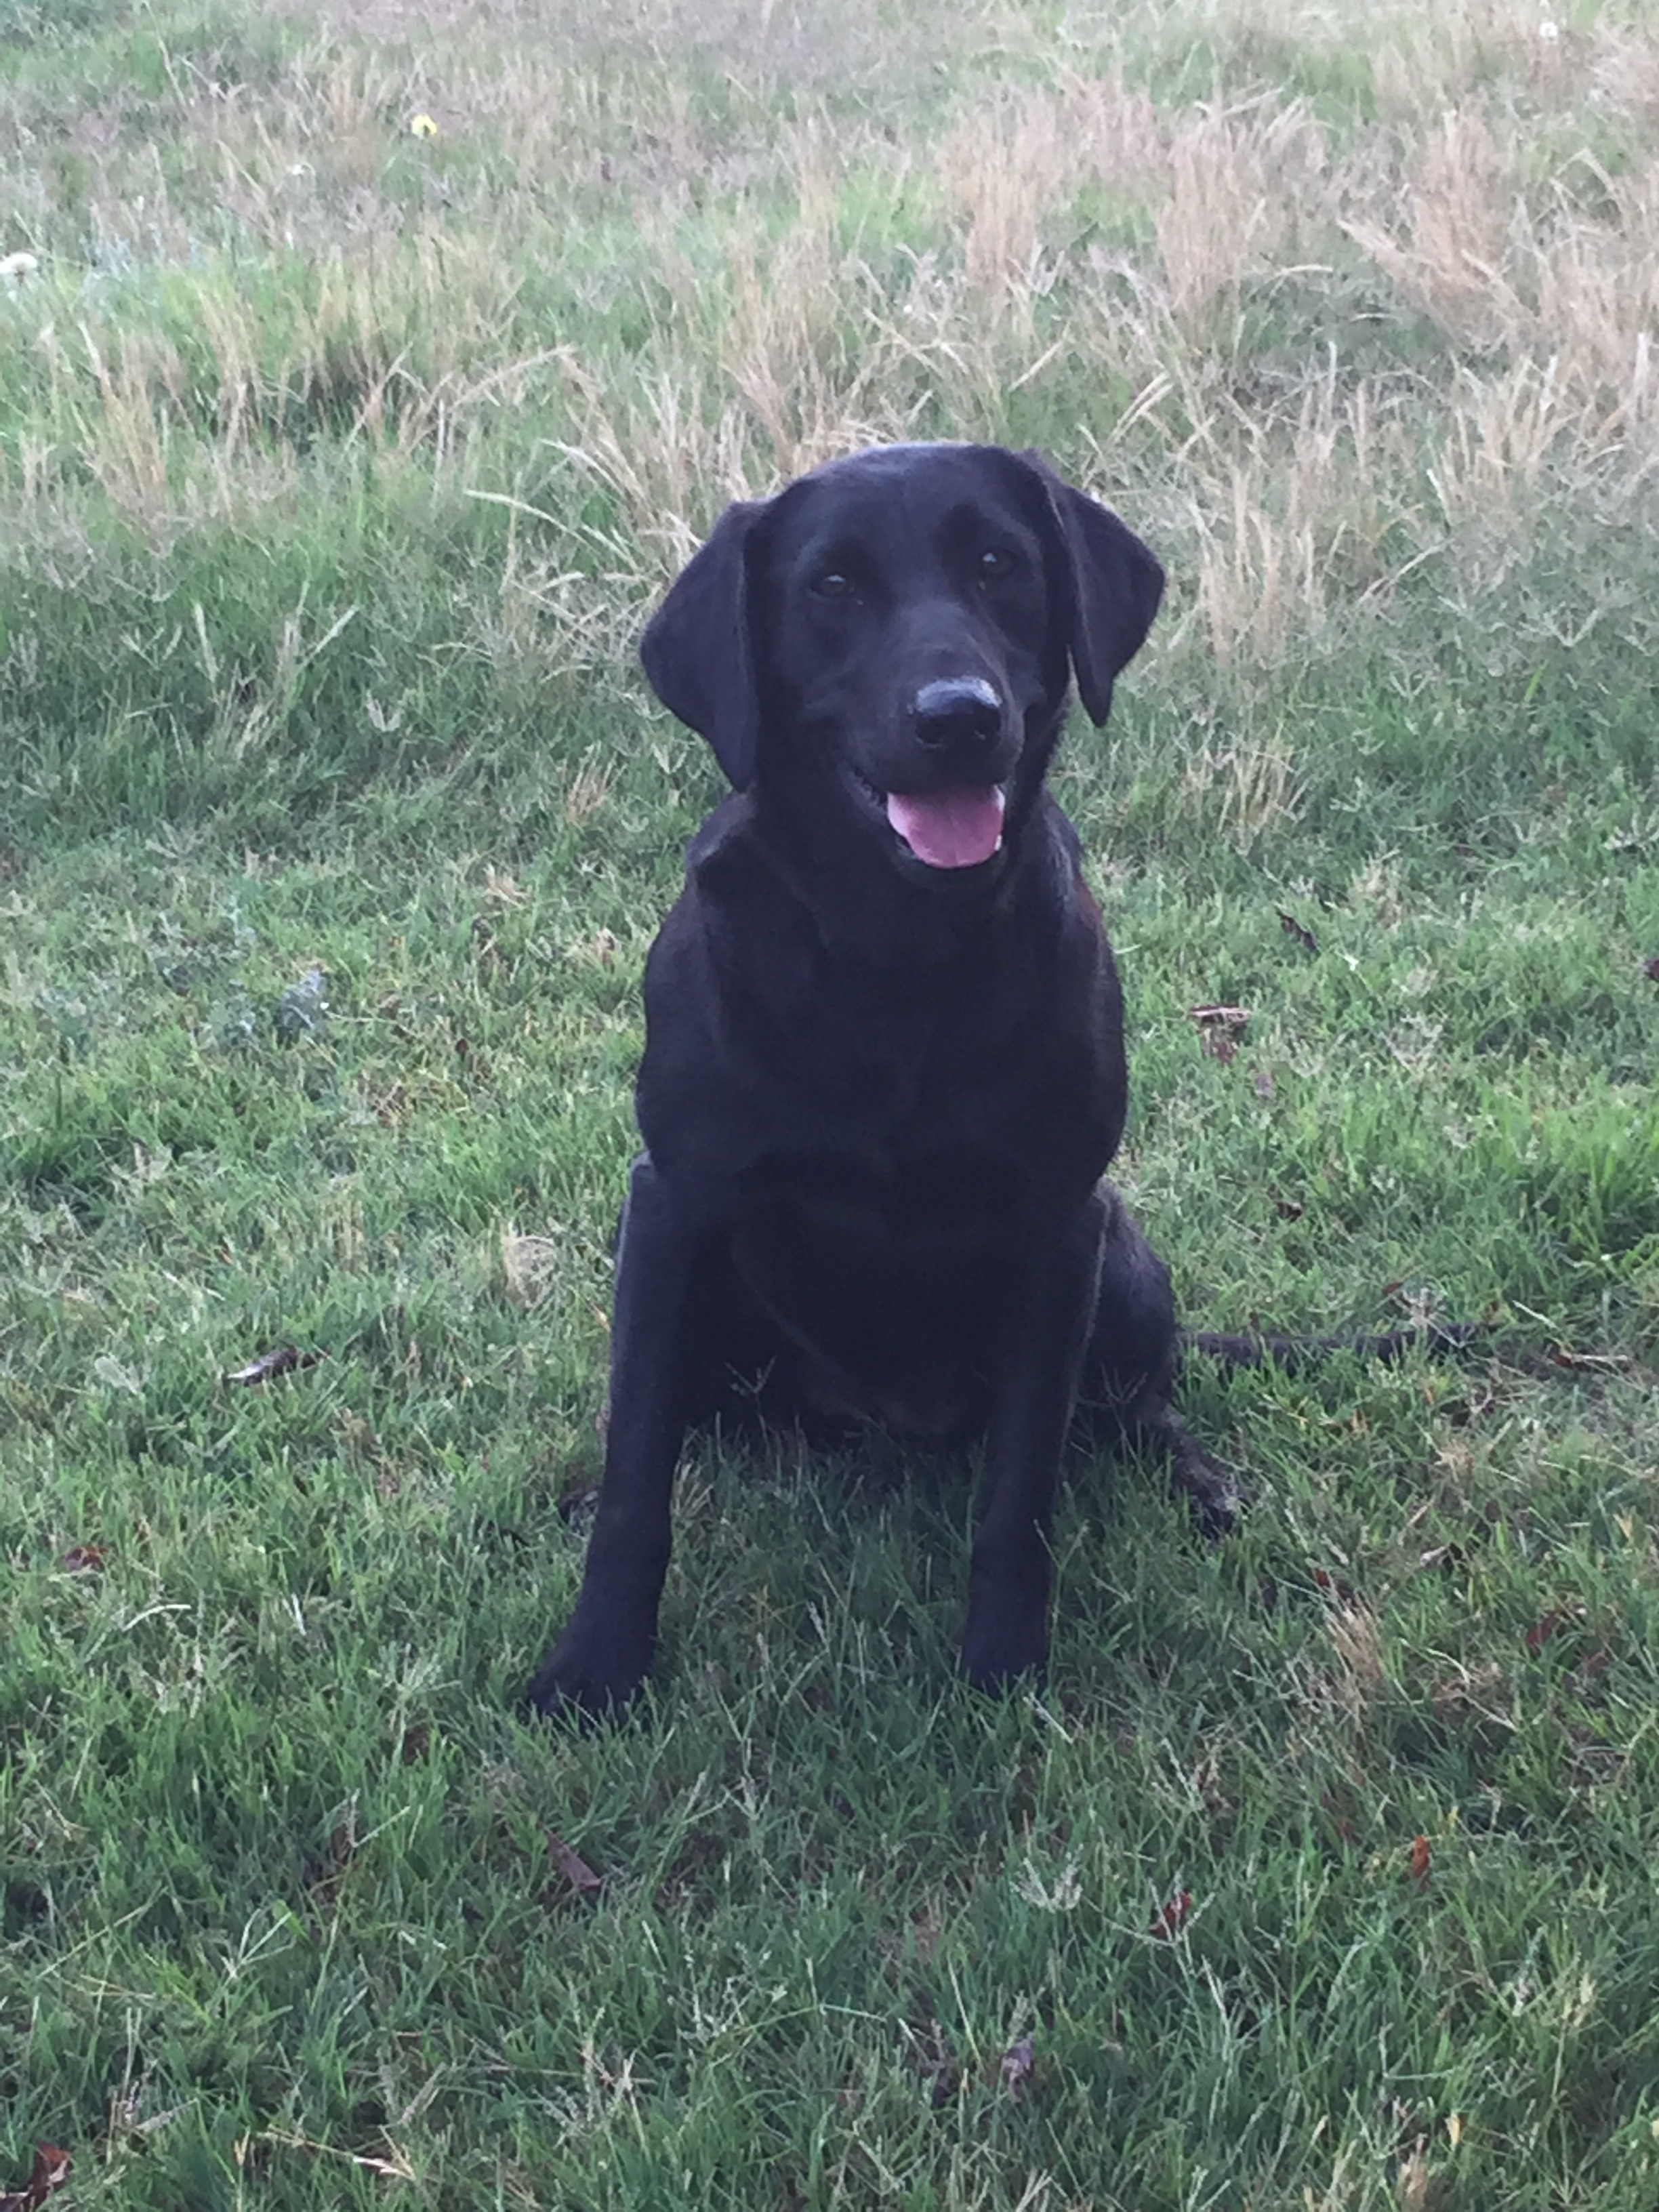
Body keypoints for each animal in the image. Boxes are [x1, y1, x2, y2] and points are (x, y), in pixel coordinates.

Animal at [526, 440, 1238, 1716]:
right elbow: (637, 1475)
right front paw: (595, 1666)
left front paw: (1002, 1667)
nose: (958, 719)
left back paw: (1196, 1476)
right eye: (833, 587)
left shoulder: (1056, 1224)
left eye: (999, 564)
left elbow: (1021, 1489)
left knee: (1131, 1404)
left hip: (1119, 1261)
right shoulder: (671, 1203)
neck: (892, 956)